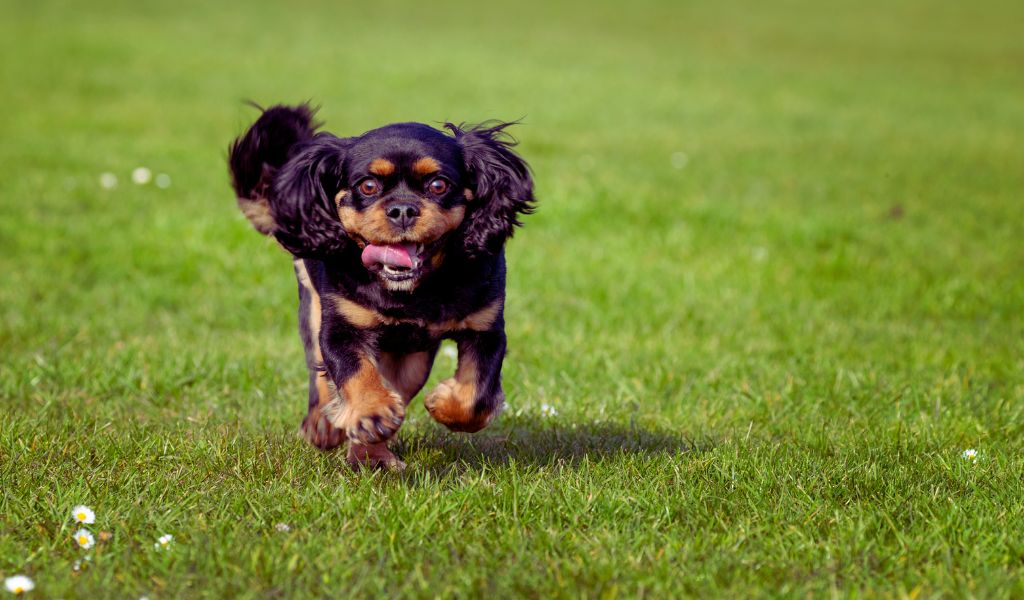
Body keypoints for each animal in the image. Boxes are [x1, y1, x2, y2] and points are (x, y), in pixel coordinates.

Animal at [228, 102, 536, 466]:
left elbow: (476, 396)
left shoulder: (485, 329)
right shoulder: (340, 329)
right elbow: (354, 372)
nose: (402, 209)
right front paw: (371, 412)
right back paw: (327, 427)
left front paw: (442, 404)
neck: (412, 290)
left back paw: (371, 455)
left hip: (412, 360)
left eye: (438, 185)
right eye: (368, 186)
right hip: (313, 312)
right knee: (321, 376)